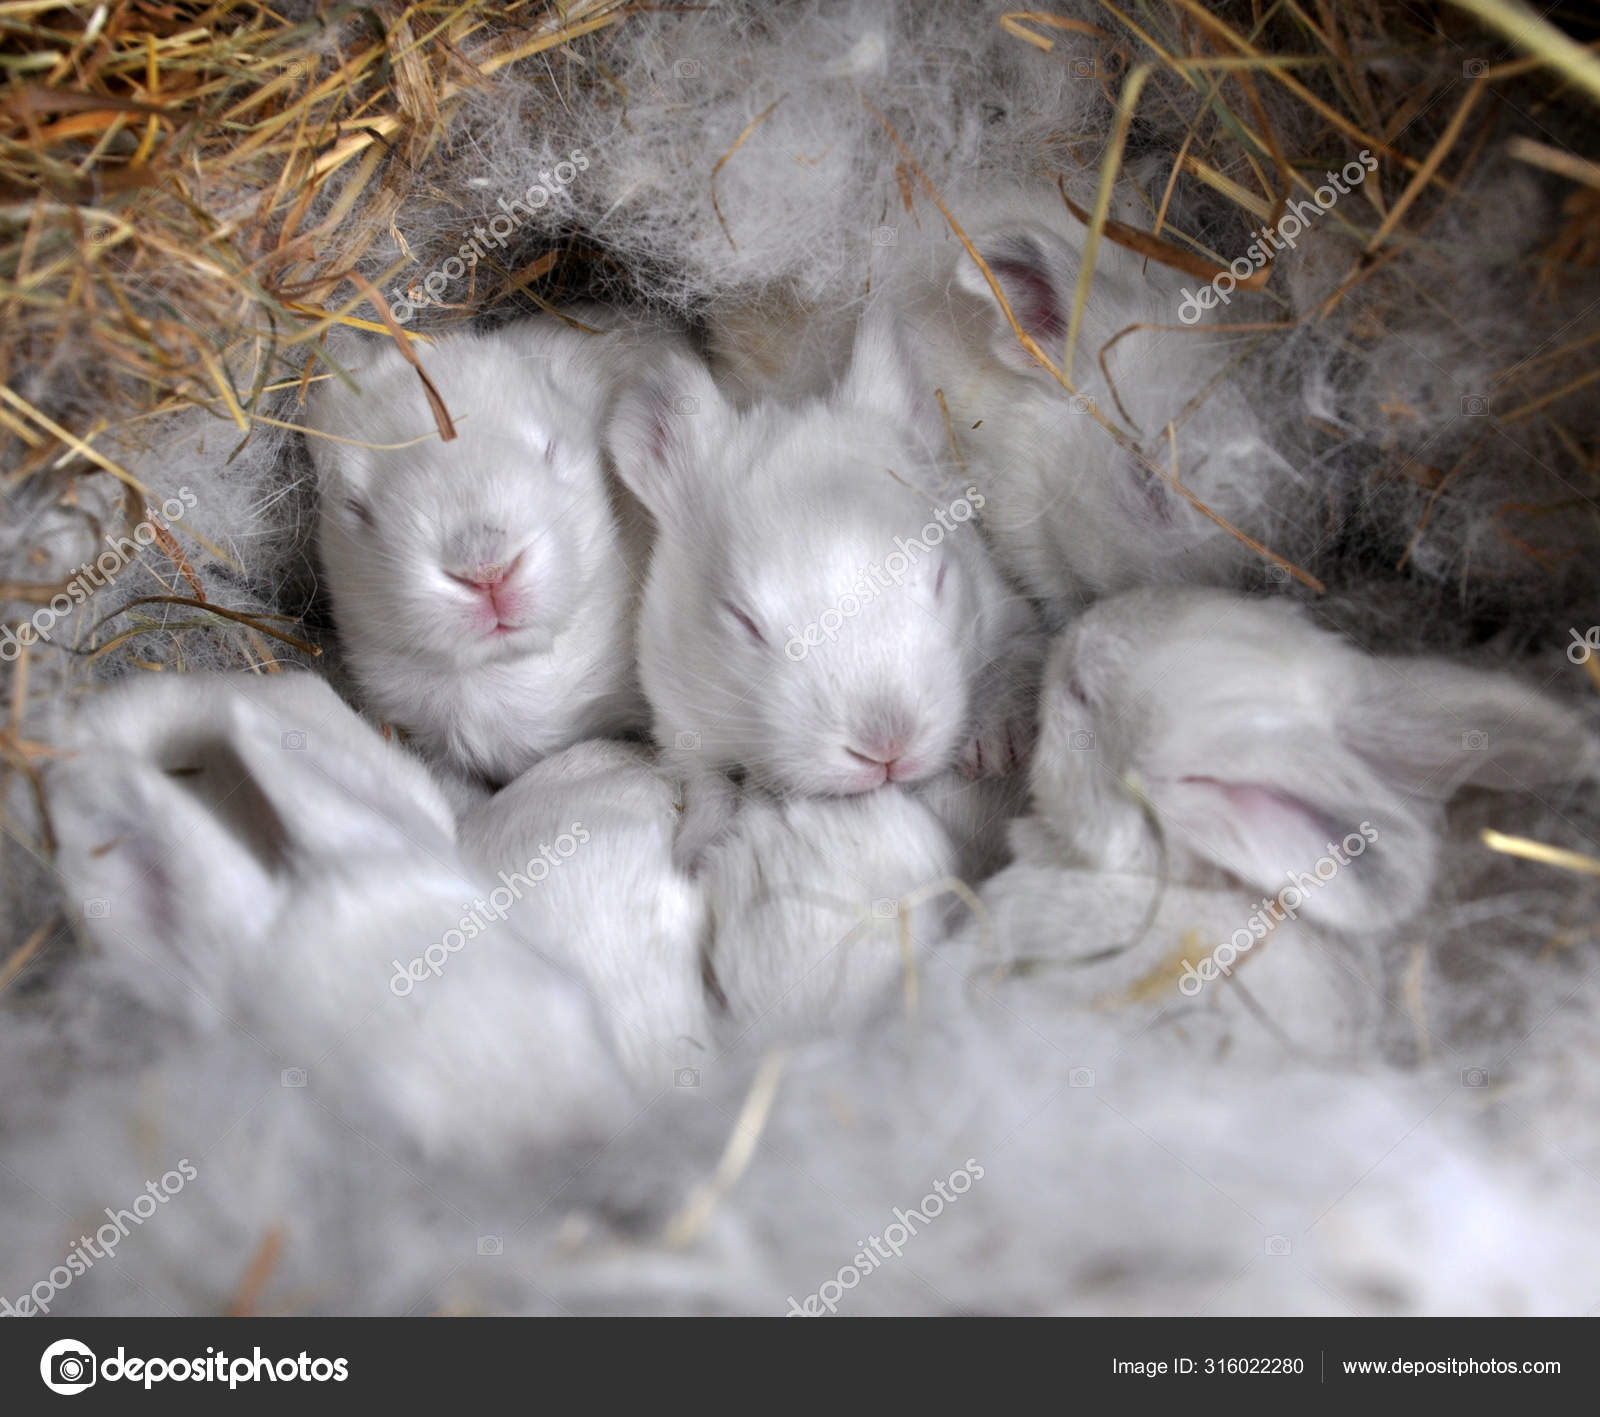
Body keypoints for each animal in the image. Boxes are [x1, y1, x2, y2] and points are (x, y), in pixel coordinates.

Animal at [607, 310, 1045, 862]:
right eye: (742, 620)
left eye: (942, 579)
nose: (885, 749)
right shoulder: (681, 724)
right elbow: (708, 786)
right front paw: (696, 853)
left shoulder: (1008, 611)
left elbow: (1018, 658)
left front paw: (997, 745)